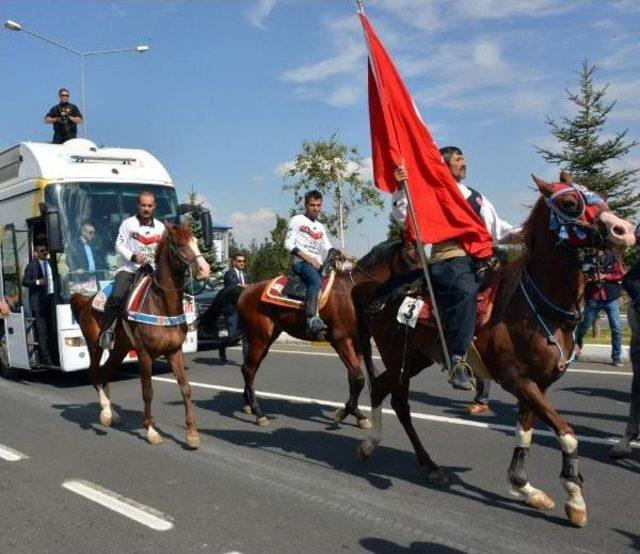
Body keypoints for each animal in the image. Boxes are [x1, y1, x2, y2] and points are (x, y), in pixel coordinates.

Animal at [70, 222, 210, 446]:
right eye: (179, 244)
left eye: (196, 241)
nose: (205, 270)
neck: (162, 305)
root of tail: (86, 301)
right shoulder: (144, 354)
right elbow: (148, 391)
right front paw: (151, 430)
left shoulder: (174, 351)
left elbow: (185, 388)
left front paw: (192, 434)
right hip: (94, 346)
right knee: (94, 373)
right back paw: (106, 413)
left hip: (120, 349)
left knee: (105, 372)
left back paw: (112, 414)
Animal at [356, 174, 636, 528]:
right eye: (570, 203)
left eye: (598, 195)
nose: (624, 230)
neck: (537, 308)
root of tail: (377, 291)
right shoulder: (518, 380)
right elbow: (568, 434)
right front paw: (574, 497)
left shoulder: (538, 384)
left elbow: (525, 432)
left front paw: (524, 487)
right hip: (398, 357)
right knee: (398, 401)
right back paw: (413, 459)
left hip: (417, 358)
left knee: (383, 388)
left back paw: (387, 451)